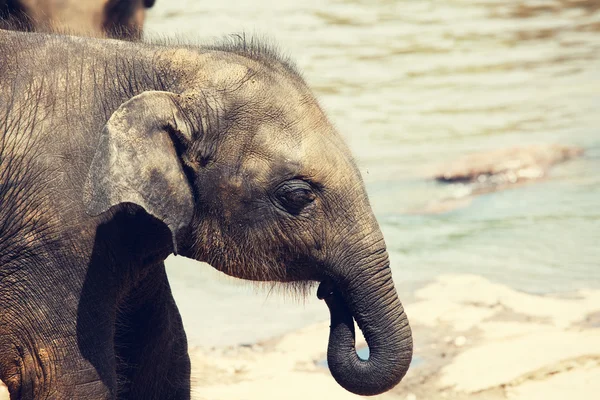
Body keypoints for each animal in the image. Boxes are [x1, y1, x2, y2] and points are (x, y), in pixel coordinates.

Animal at [0, 29, 412, 398]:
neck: (158, 68)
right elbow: (67, 377)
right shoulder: (55, 233)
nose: (329, 291)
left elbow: (164, 355)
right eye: (297, 196)